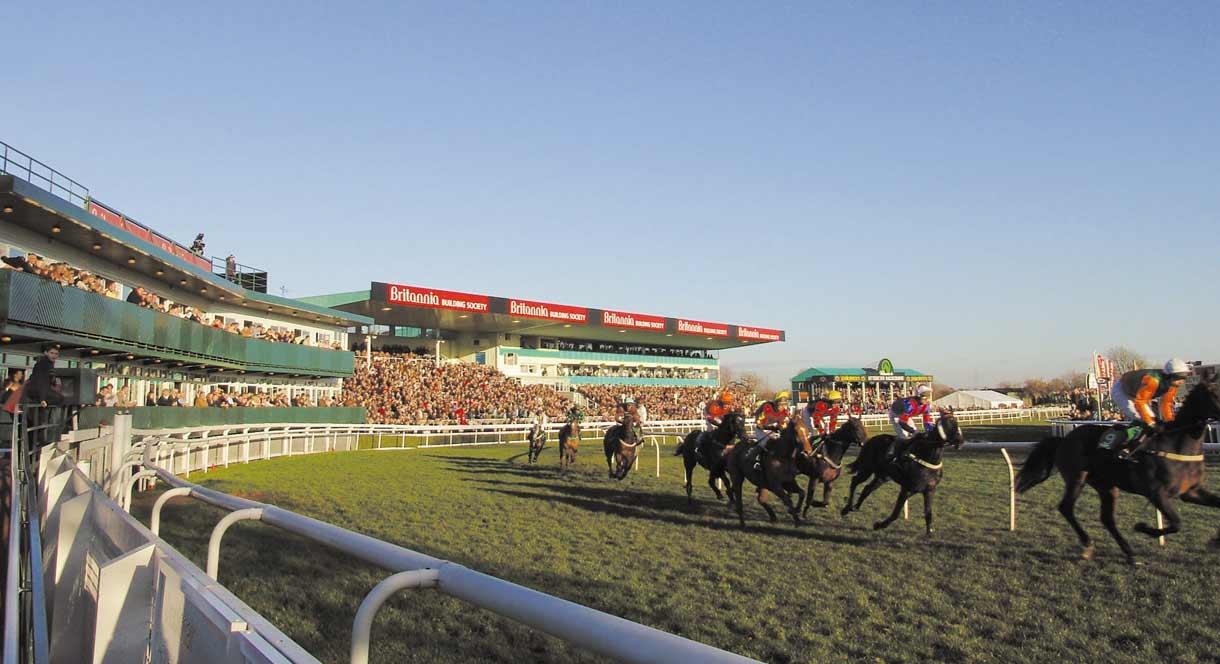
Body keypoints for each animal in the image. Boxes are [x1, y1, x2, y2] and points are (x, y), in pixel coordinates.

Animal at [1015, 371, 1220, 563]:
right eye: (1215, 393)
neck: (1176, 443)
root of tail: (1063, 439)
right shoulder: (1157, 493)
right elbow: (1176, 523)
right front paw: (1142, 527)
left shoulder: (1191, 491)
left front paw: (1215, 541)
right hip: (1076, 477)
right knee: (1066, 508)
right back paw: (1088, 545)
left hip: (1106, 485)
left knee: (1106, 518)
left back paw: (1129, 553)